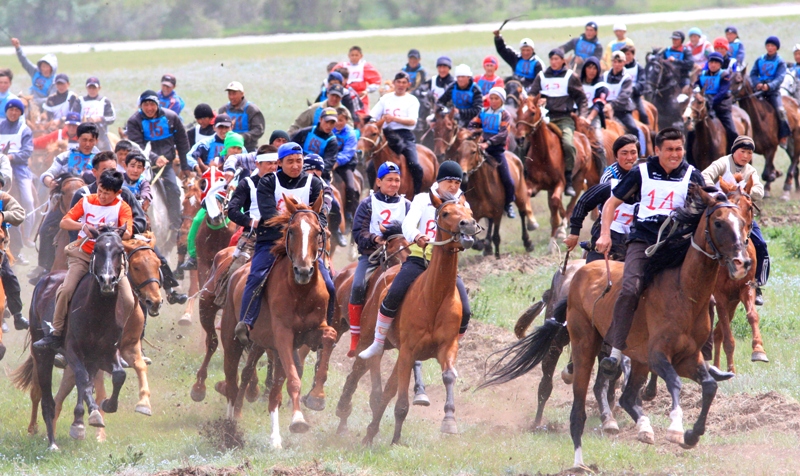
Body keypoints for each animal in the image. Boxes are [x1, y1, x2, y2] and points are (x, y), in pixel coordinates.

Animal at [217, 195, 336, 448]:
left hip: (265, 345)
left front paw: (317, 396)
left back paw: (275, 438)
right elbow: (293, 380)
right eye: (291, 231)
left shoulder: (308, 334)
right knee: (232, 381)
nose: (303, 270)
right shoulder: (283, 335)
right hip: (233, 340)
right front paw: (298, 420)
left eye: (318, 232)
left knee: (271, 391)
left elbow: (328, 337)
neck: (301, 292)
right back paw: (230, 428)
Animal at [346, 192, 478, 444]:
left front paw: (449, 420)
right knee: (363, 365)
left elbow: (448, 376)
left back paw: (370, 430)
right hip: (369, 337)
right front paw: (396, 440)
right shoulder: (408, 351)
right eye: (445, 213)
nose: (468, 225)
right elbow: (400, 404)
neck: (435, 297)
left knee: (384, 389)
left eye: (470, 212)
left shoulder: (446, 347)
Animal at [512, 96, 600, 253]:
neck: (544, 154)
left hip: (578, 178)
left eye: (532, 112)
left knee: (573, 200)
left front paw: (552, 242)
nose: (519, 138)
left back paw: (563, 227)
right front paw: (532, 223)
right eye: (517, 112)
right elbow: (528, 195)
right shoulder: (534, 184)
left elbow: (555, 205)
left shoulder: (560, 183)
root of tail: (583, 136)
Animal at [732, 69, 800, 199]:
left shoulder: (771, 149)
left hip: (796, 138)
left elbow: (766, 173)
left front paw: (771, 180)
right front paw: (776, 173)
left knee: (794, 160)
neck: (760, 119)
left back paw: (787, 188)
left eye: (738, 81)